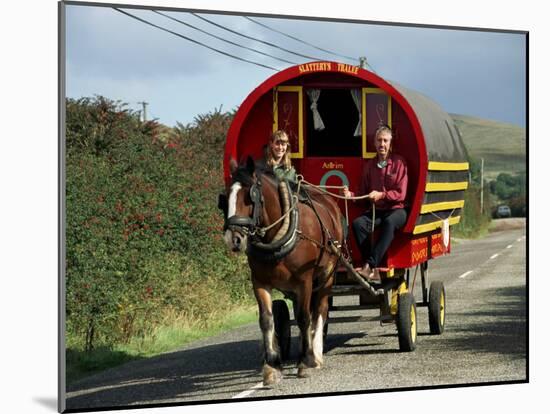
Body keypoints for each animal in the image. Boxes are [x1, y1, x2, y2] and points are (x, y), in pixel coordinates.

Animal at [220, 156, 344, 384]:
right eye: (226, 197)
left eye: (250, 195)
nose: (234, 239)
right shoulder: (260, 282)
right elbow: (267, 320)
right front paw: (272, 366)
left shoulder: (304, 281)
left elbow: (304, 318)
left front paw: (305, 362)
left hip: (327, 275)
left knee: (320, 310)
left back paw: (316, 353)